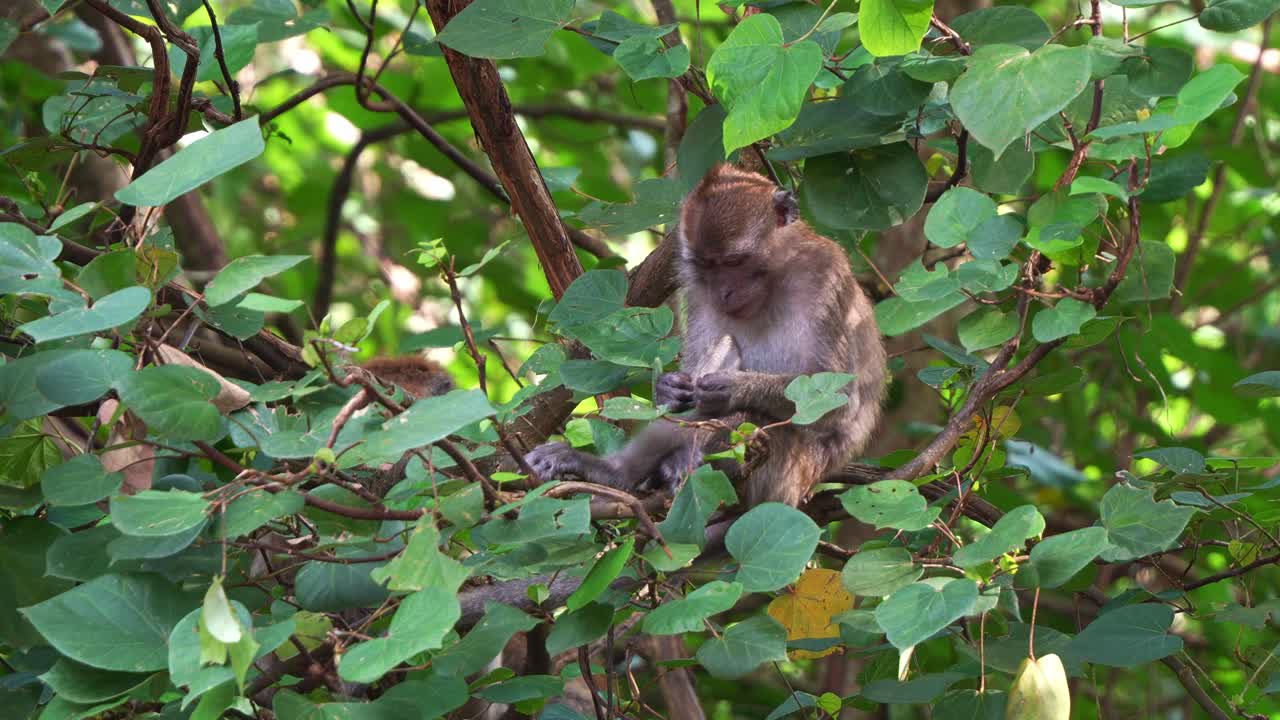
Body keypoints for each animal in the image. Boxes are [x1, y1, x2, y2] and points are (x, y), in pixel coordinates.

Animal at [526, 164, 887, 507]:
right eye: (705, 266)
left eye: (735, 261)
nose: (723, 292)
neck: (776, 277)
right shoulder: (697, 290)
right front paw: (668, 388)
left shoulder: (826, 275)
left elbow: (837, 399)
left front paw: (733, 388)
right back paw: (616, 472)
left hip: (790, 472)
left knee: (756, 417)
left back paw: (690, 459)